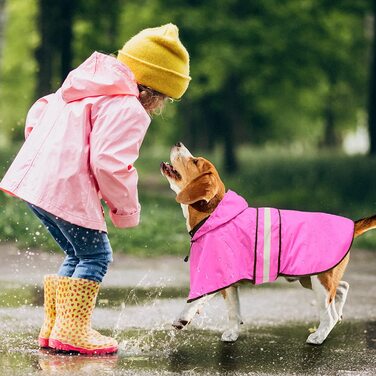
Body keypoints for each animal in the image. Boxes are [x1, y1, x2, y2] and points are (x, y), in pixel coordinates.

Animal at [161, 142, 376, 346]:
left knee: (328, 313)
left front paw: (182, 318)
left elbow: (195, 299)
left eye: (195, 161)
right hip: (309, 278)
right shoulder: (228, 283)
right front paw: (232, 333)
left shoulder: (212, 275)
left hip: (319, 280)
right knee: (342, 288)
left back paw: (318, 336)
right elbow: (233, 310)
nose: (178, 143)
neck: (213, 216)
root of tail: (351, 225)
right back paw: (338, 314)